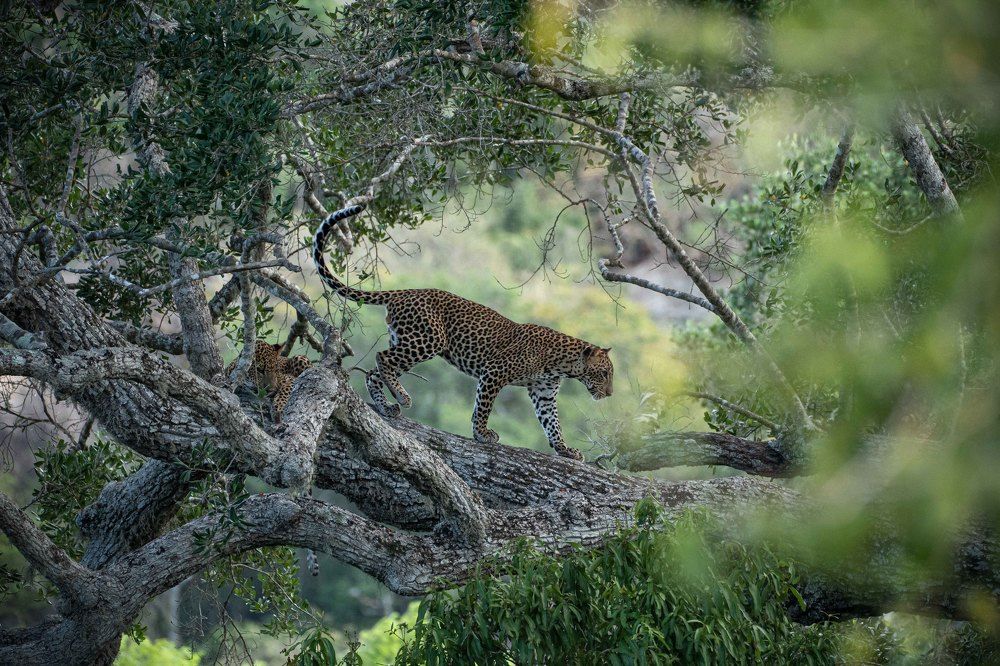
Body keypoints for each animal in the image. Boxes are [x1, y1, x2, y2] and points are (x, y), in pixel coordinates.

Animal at [312, 203, 614, 461]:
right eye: (604, 374)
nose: (610, 394)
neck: (562, 364)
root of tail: (405, 292)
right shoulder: (495, 372)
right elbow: (483, 406)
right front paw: (482, 433)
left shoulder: (544, 393)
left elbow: (552, 424)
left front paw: (565, 450)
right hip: (429, 339)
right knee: (382, 357)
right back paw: (401, 396)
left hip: (407, 339)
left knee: (375, 371)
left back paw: (387, 405)